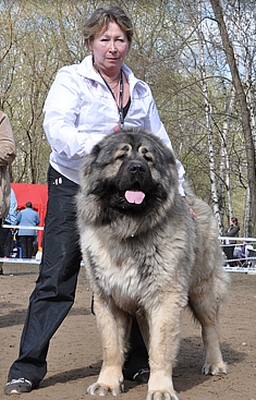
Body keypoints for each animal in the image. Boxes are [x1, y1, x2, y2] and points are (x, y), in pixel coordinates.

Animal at [76, 130, 228, 398]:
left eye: (148, 159)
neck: (129, 229)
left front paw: (160, 388)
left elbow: (160, 348)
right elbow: (111, 348)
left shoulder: (165, 299)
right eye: (121, 156)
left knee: (210, 327)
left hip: (202, 290)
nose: (137, 168)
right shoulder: (108, 299)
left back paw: (214, 363)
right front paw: (107, 383)